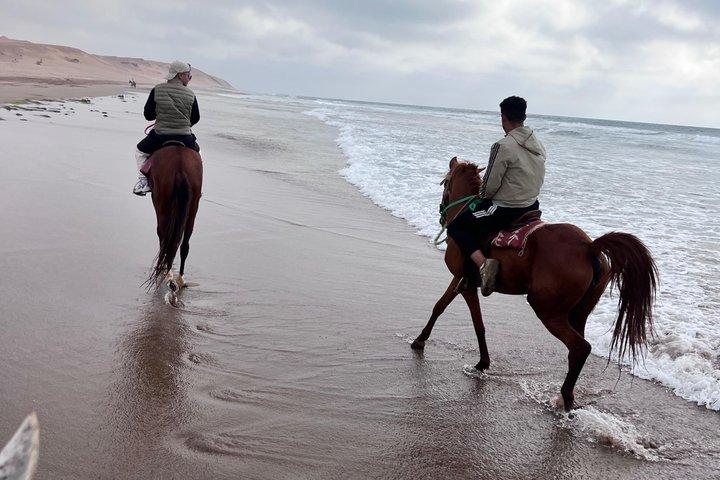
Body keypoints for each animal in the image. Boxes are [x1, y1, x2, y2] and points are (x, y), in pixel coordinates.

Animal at [145, 144, 203, 294]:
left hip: (161, 201)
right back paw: (180, 278)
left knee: (164, 236)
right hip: (193, 205)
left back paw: (167, 272)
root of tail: (180, 166)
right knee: (184, 244)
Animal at [411, 157, 658, 411]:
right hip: (579, 312)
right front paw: (480, 361)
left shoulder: (464, 282)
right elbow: (457, 313)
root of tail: (589, 247)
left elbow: (457, 314)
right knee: (577, 349)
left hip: (548, 311)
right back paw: (568, 395)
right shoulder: (464, 282)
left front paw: (423, 341)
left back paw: (565, 396)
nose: (441, 212)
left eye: (445, 182)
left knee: (579, 347)